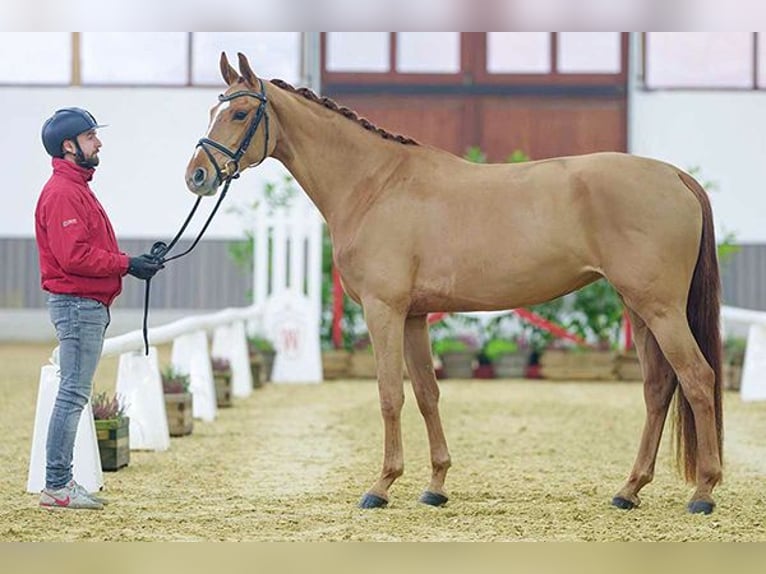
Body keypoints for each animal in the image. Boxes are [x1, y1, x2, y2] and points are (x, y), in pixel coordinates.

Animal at [186, 51, 728, 516]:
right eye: (213, 108)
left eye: (239, 114)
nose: (197, 176)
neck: (375, 185)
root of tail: (676, 176)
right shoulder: (414, 316)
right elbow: (427, 394)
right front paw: (435, 486)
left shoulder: (383, 311)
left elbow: (390, 394)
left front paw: (381, 486)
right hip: (639, 308)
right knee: (658, 388)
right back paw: (629, 490)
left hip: (660, 309)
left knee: (697, 379)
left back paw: (703, 492)